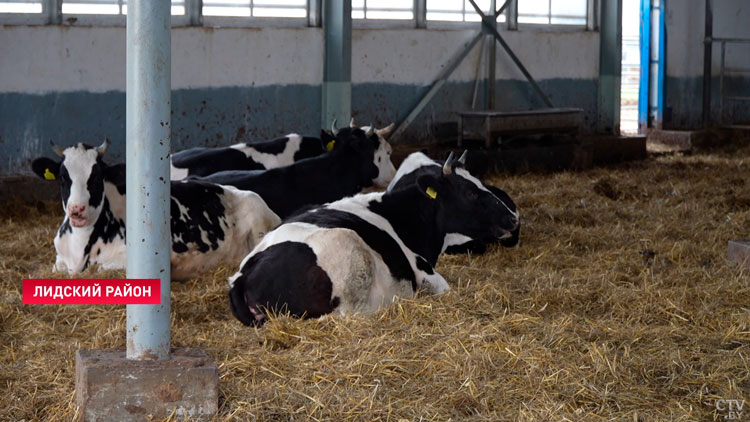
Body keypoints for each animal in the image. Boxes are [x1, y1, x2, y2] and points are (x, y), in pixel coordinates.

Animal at [30, 141, 280, 280]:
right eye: (63, 177)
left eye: (96, 177)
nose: (77, 209)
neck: (81, 246)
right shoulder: (60, 260)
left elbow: (100, 269)